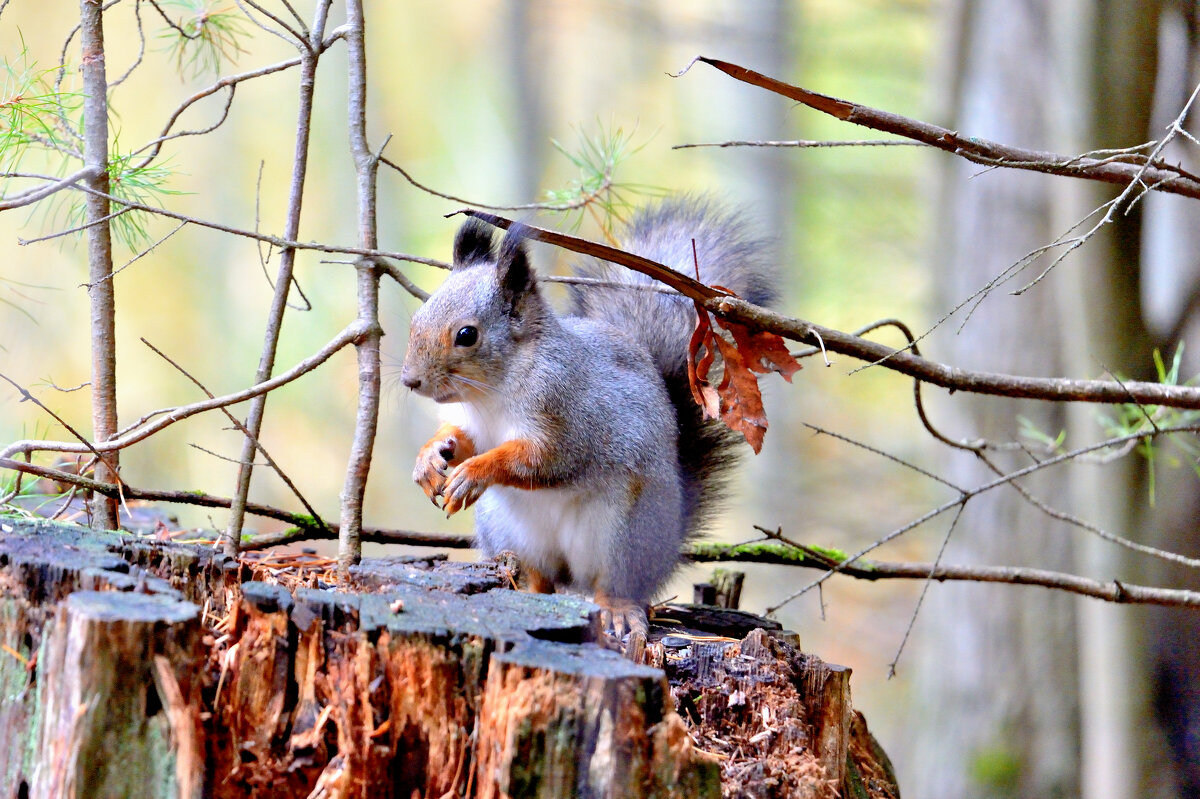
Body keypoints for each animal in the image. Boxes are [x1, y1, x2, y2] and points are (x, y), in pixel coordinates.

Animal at [400, 197, 777, 633]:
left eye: (466, 335)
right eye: (416, 320)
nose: (410, 380)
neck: (491, 392)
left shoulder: (570, 415)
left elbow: (541, 460)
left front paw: (473, 473)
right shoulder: (474, 424)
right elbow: (462, 440)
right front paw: (429, 459)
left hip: (624, 534)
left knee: (611, 582)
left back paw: (617, 609)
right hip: (506, 531)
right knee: (541, 576)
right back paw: (528, 590)